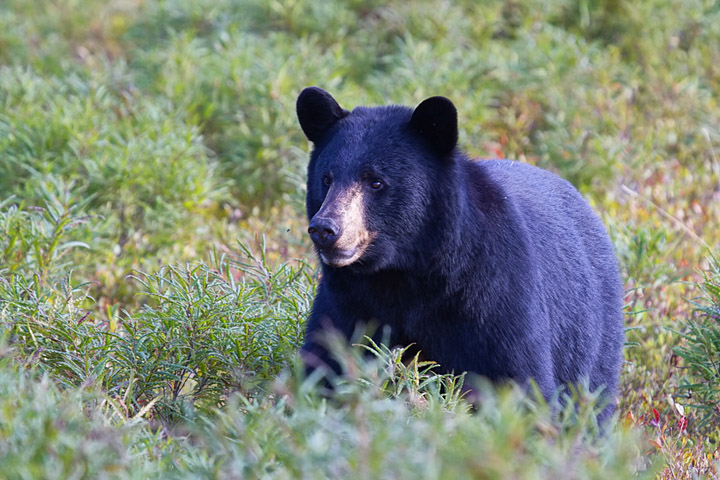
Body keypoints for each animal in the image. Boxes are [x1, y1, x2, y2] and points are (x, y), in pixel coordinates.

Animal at [296, 86, 620, 420]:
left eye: (376, 182)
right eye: (327, 178)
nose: (325, 229)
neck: (404, 274)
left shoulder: (494, 294)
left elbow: (519, 379)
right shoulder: (347, 301)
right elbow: (327, 362)